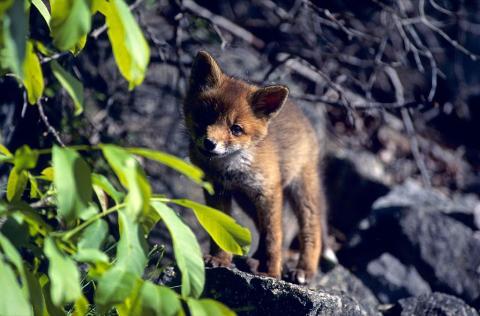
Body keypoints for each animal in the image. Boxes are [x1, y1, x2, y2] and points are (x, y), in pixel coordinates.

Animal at [184, 50, 330, 284]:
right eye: (206, 117)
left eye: (236, 129)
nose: (209, 143)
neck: (230, 168)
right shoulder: (217, 190)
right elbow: (221, 230)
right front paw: (220, 259)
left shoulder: (268, 191)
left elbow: (274, 238)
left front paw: (271, 273)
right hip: (247, 201)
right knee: (266, 229)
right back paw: (256, 260)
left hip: (300, 191)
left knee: (309, 229)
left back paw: (303, 270)